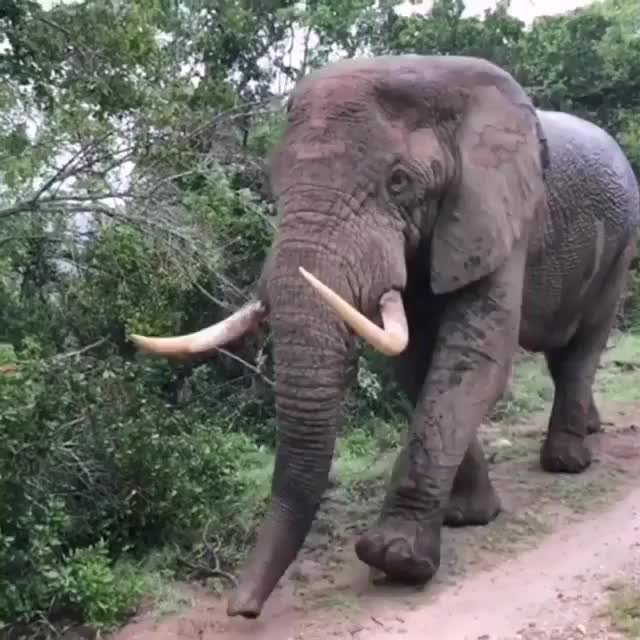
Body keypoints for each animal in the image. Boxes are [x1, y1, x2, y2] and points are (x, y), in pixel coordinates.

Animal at [130, 56, 640, 620]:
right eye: (273, 184)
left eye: (399, 182)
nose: (242, 609)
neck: (435, 76)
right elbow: (417, 364)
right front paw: (466, 516)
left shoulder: (500, 215)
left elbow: (472, 359)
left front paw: (395, 559)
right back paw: (589, 431)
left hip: (622, 243)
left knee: (583, 346)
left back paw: (567, 463)